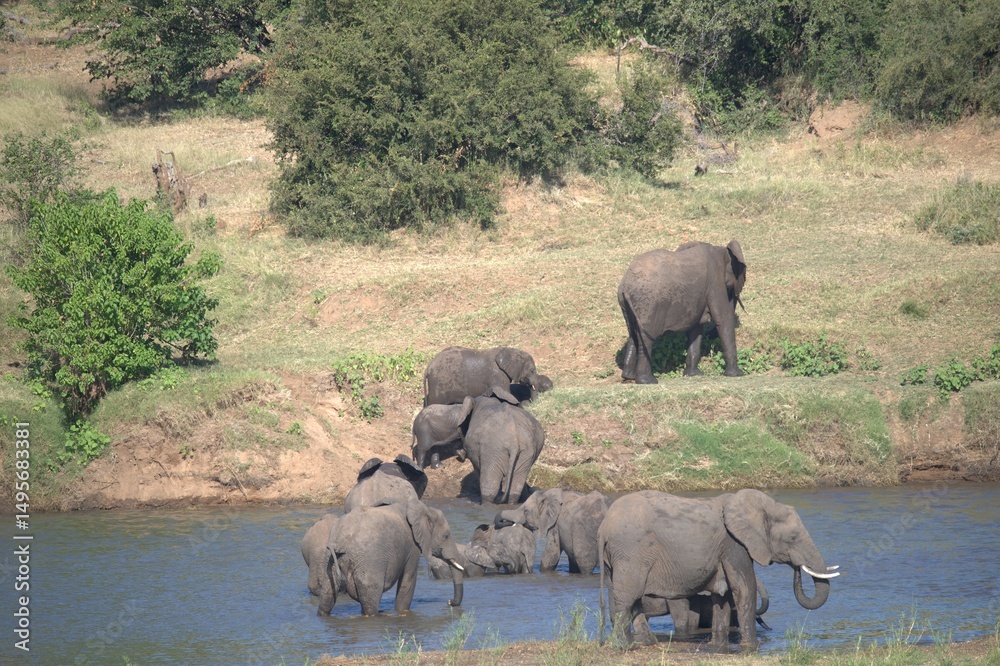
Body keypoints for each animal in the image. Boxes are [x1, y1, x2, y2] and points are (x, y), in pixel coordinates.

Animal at [318, 498, 465, 616]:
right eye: (446, 536)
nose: (449, 602)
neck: (424, 509)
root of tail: (339, 540)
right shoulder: (412, 546)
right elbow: (408, 581)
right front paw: (401, 612)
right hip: (369, 562)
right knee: (371, 600)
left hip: (329, 561)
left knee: (327, 597)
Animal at [423, 346, 553, 408]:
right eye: (532, 371)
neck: (512, 350)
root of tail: (428, 369)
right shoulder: (498, 375)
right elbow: (506, 395)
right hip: (438, 386)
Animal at [598, 489, 838, 648]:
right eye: (793, 537)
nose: (797, 568)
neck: (766, 505)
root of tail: (603, 526)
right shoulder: (735, 544)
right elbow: (744, 589)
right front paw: (750, 647)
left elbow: (722, 596)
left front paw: (717, 646)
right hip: (631, 552)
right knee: (627, 598)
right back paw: (625, 646)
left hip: (618, 558)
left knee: (630, 598)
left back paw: (647, 643)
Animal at [618, 239, 747, 383]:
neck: (721, 250)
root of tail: (626, 285)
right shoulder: (715, 280)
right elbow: (723, 319)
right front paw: (737, 374)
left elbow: (696, 328)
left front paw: (694, 374)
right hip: (648, 304)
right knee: (646, 339)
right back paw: (648, 381)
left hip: (628, 304)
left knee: (633, 334)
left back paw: (628, 377)